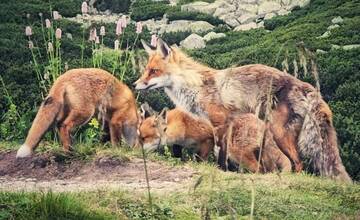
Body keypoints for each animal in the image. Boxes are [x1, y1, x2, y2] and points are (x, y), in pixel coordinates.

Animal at [134, 38, 352, 182]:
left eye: (154, 71)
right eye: (145, 70)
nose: (135, 85)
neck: (197, 86)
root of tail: (306, 86)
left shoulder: (220, 123)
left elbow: (220, 153)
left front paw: (222, 170)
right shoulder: (225, 123)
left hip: (279, 133)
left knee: (298, 163)